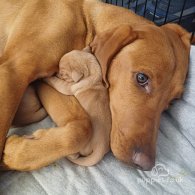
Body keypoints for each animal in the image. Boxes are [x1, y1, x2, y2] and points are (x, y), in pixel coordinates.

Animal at [0, 0, 191, 171]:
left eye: (172, 102)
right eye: (142, 78)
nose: (145, 165)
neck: (85, 21)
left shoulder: (67, 87)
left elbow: (81, 127)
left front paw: (15, 152)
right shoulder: (13, 71)